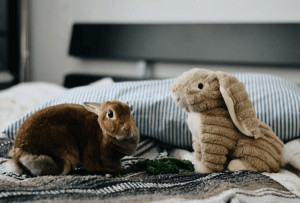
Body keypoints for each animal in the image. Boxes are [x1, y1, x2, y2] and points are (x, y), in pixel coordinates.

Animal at [5, 100, 139, 175]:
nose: (128, 129)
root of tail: (20, 152)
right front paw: (120, 170)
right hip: (63, 152)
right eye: (110, 114)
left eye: (129, 111)